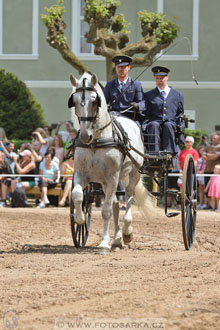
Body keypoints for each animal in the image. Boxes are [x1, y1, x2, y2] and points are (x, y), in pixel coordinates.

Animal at [69, 71, 155, 248]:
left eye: (94, 101)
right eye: (74, 101)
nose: (84, 135)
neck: (96, 142)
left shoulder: (112, 177)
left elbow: (106, 211)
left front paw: (103, 243)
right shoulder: (81, 174)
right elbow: (78, 196)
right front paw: (80, 219)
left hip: (132, 173)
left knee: (128, 196)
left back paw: (127, 233)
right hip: (113, 179)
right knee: (116, 203)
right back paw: (117, 238)